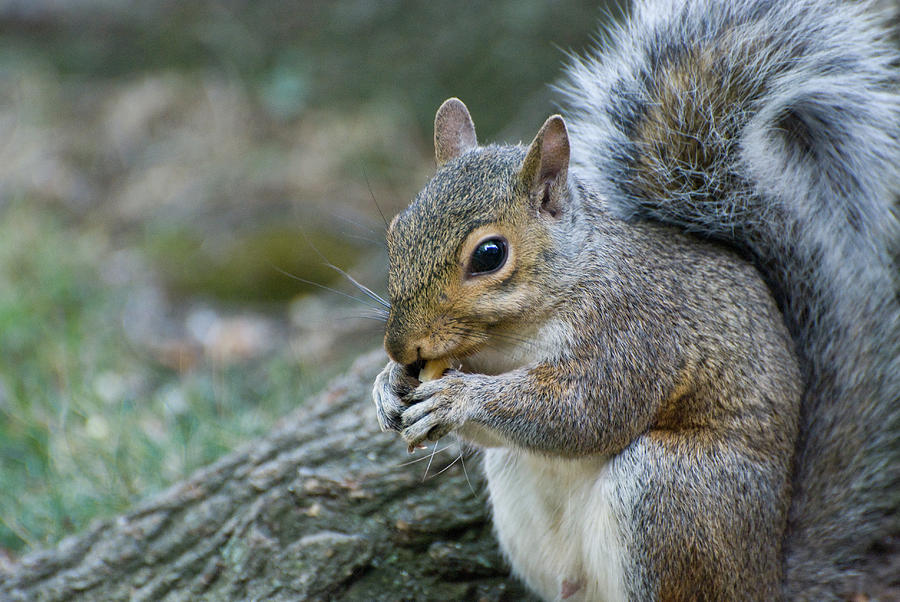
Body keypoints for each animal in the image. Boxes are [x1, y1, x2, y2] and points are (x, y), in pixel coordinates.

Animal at [370, 2, 896, 596]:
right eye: (396, 230)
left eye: (489, 254)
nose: (398, 348)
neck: (511, 340)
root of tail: (764, 577)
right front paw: (387, 388)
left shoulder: (634, 334)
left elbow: (584, 412)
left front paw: (459, 397)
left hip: (671, 493)